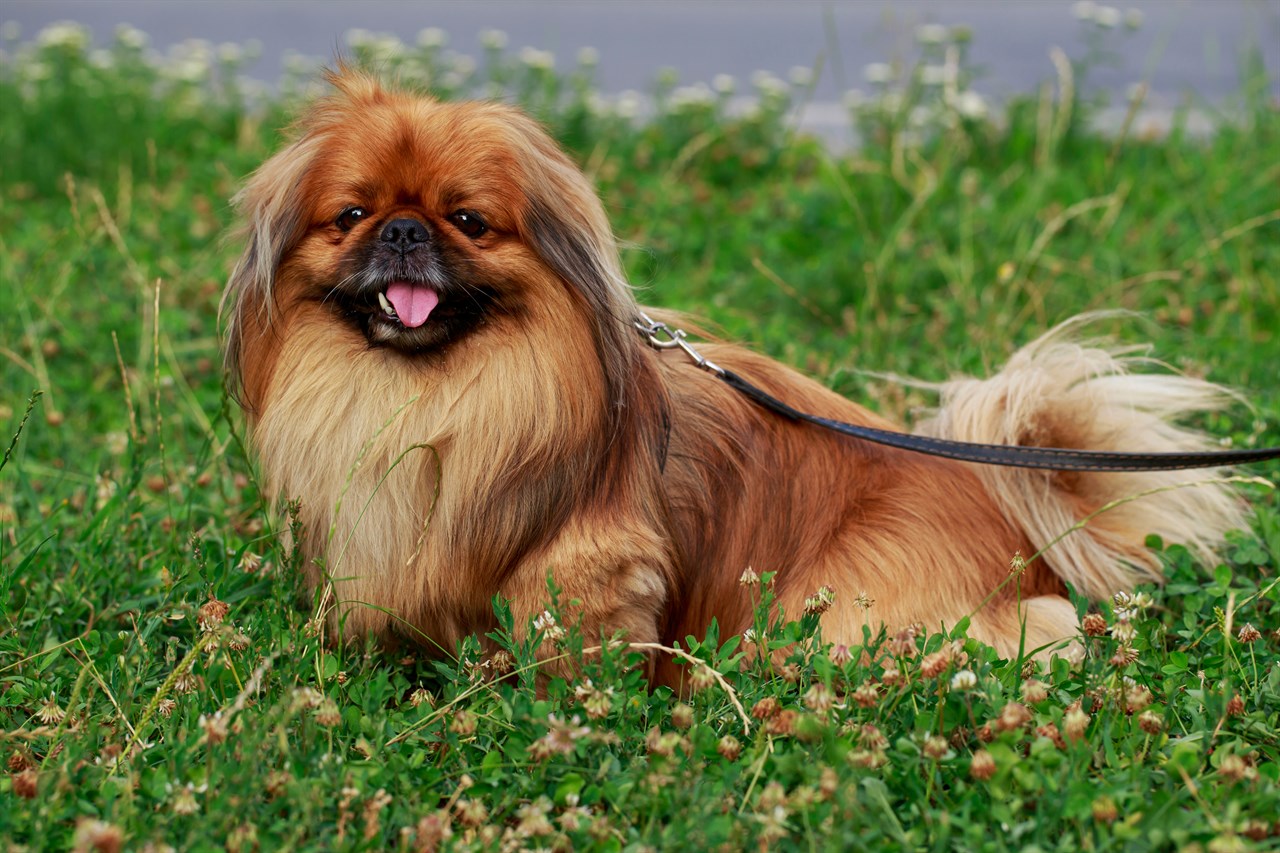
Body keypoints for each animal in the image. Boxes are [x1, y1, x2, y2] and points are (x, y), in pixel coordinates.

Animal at [222, 68, 1239, 676]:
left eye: (468, 221)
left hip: (836, 614)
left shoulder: (585, 563)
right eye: (352, 215)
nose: (403, 230)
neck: (431, 395)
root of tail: (1021, 532)